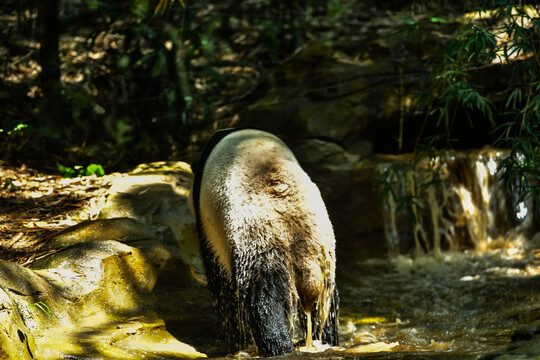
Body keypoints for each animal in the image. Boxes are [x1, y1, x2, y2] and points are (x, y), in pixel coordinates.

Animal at [191, 128, 338, 356]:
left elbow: (219, 277)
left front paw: (234, 336)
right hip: (324, 254)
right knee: (325, 308)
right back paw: (323, 340)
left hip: (259, 240)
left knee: (265, 299)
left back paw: (278, 347)